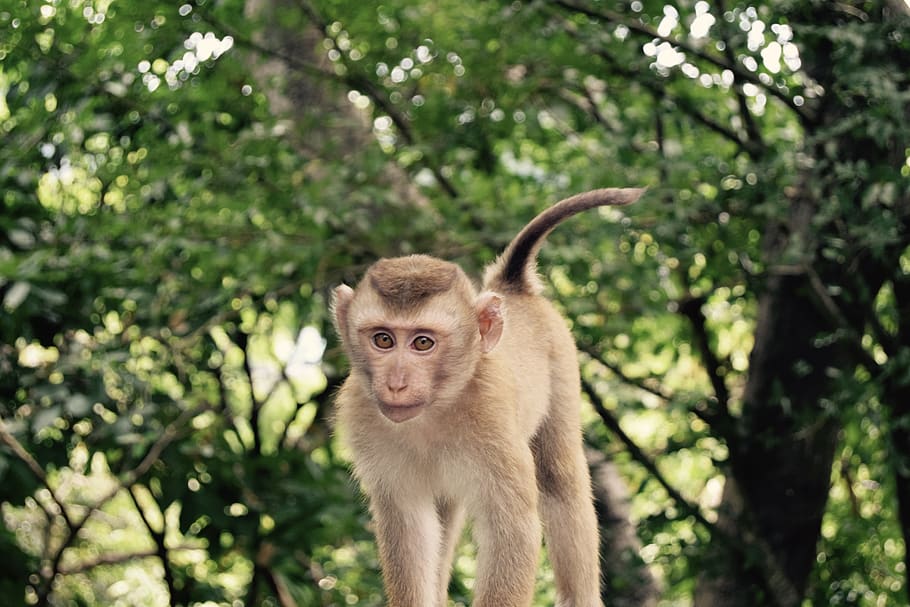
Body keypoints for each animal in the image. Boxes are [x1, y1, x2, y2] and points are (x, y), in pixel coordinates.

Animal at [331, 187, 643, 607]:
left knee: (559, 478)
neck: (436, 410)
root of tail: (513, 288)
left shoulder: (492, 422)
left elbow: (511, 528)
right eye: (383, 339)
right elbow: (408, 527)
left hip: (563, 363)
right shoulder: (363, 418)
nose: (396, 383)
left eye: (423, 343)